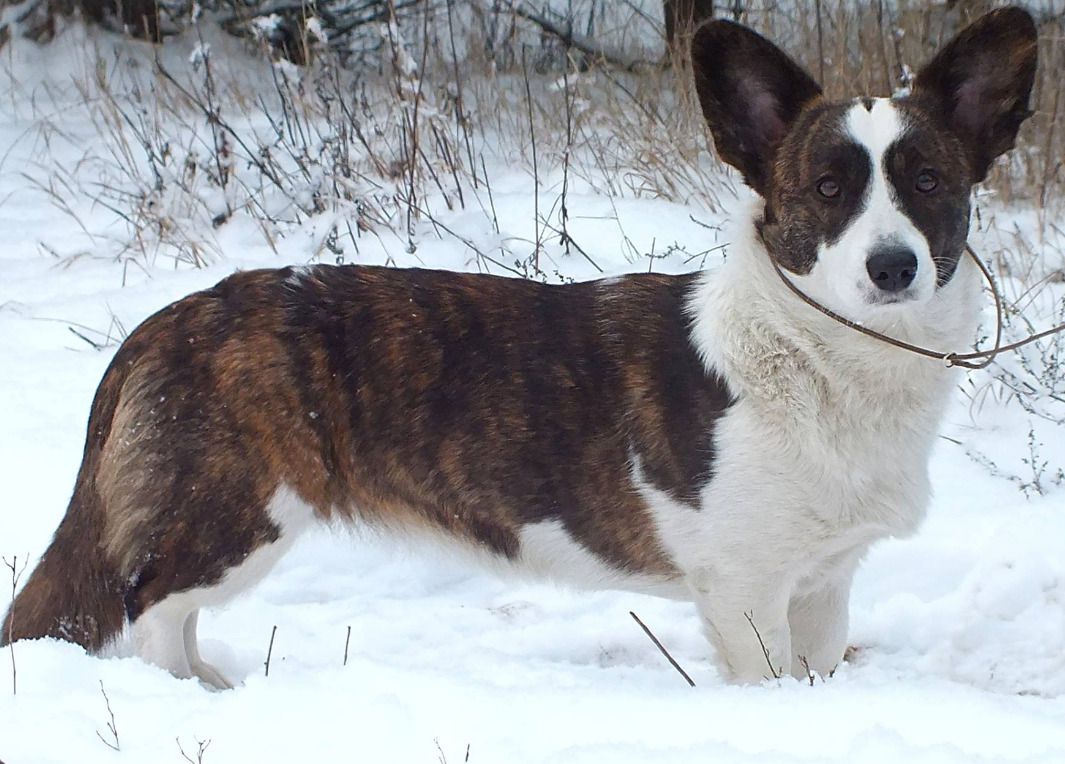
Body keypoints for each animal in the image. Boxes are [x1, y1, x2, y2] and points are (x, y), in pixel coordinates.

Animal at [0, 7, 1030, 686]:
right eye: (825, 189)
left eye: (928, 182)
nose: (892, 267)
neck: (826, 361)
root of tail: (163, 324)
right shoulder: (744, 590)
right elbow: (764, 681)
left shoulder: (822, 581)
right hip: (236, 517)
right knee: (150, 608)